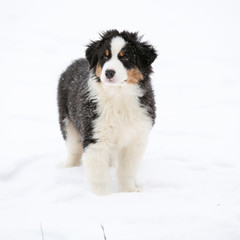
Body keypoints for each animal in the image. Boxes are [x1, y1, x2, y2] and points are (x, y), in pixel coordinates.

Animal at [57, 29, 157, 195]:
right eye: (105, 56)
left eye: (126, 57)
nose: (109, 72)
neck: (118, 95)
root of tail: (75, 62)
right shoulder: (95, 136)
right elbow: (99, 175)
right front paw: (102, 196)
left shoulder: (136, 138)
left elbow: (127, 170)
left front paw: (128, 192)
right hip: (67, 121)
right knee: (73, 149)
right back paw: (66, 169)